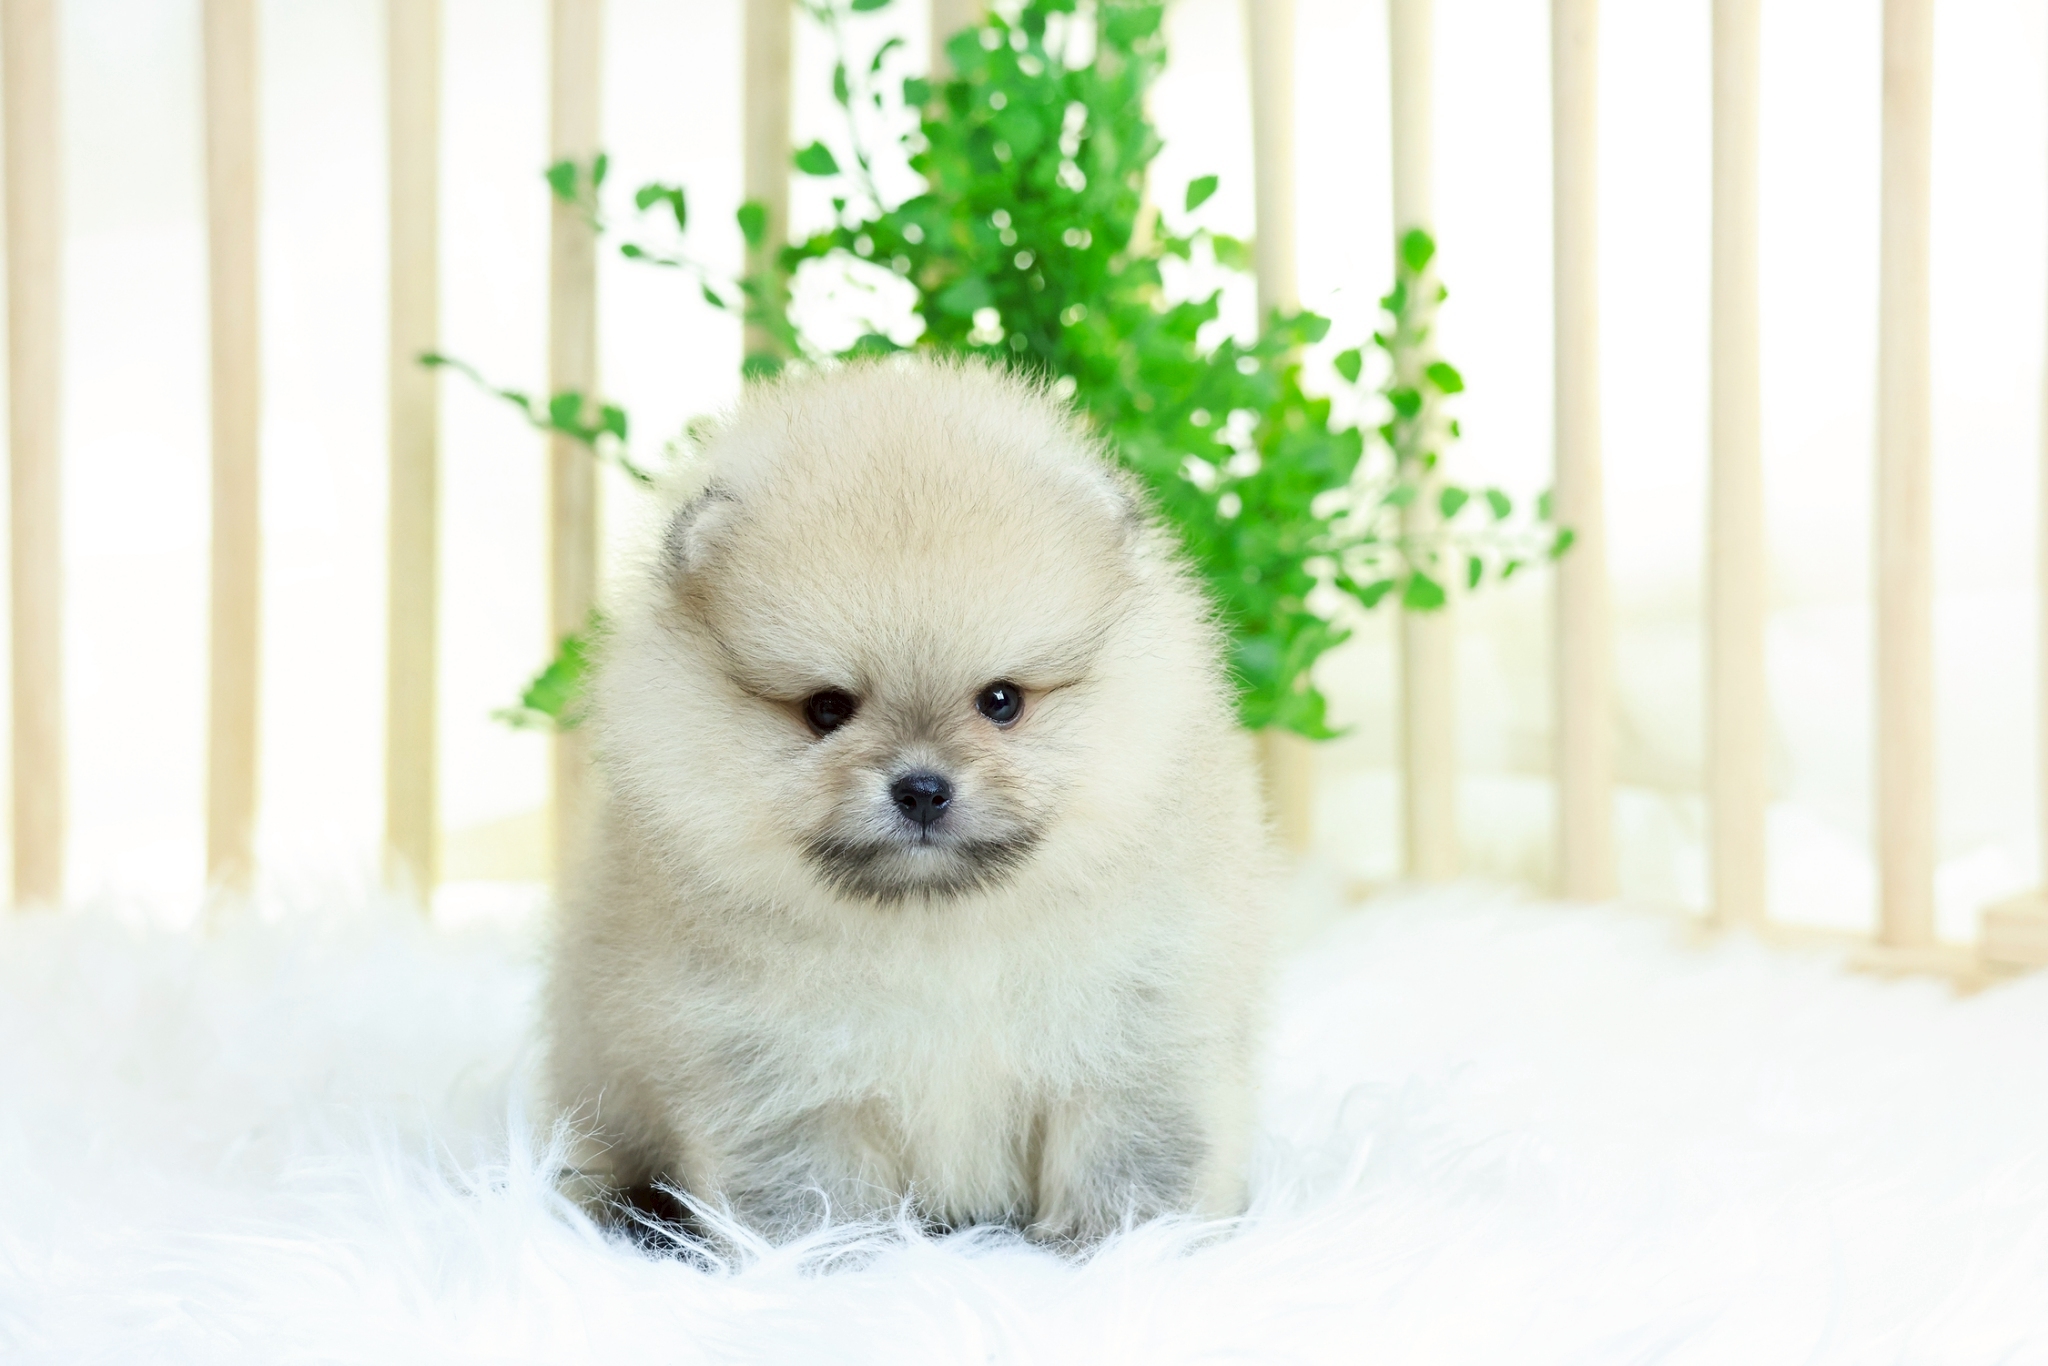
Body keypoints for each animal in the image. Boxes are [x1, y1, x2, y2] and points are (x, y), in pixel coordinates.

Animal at [547, 358, 1271, 1246]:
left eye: (1001, 701)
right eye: (827, 709)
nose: (922, 788)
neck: (938, 931)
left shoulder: (1134, 1037)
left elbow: (1128, 1165)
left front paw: (1123, 1248)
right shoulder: (782, 1079)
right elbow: (812, 1202)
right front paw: (832, 1259)